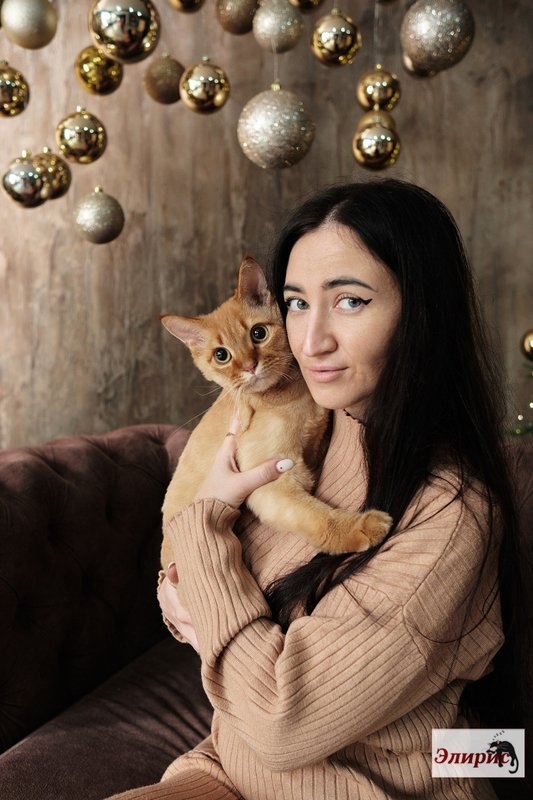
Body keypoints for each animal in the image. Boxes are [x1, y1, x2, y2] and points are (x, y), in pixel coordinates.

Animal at [160, 256, 392, 570]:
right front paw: (361, 527)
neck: (290, 395)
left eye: (259, 333)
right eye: (221, 355)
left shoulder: (312, 448)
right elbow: (319, 518)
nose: (249, 366)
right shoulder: (275, 480)